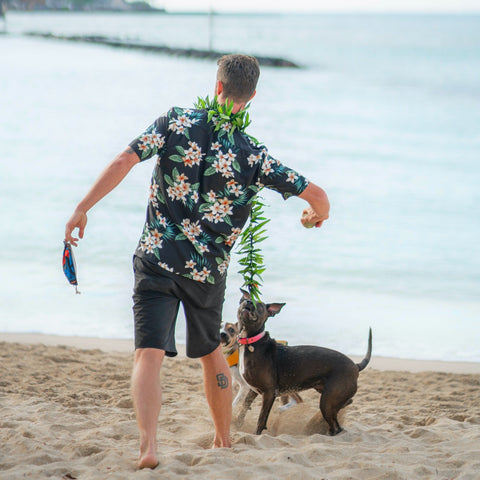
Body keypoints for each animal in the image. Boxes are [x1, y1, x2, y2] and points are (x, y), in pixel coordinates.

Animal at [238, 288, 374, 436]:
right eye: (246, 299)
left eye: (259, 306)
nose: (248, 302)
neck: (252, 342)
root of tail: (355, 366)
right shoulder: (254, 390)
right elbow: (243, 409)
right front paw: (236, 425)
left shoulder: (269, 392)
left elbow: (261, 419)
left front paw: (256, 434)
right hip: (326, 394)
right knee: (342, 413)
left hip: (327, 401)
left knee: (336, 425)